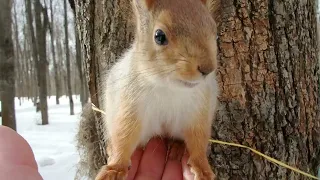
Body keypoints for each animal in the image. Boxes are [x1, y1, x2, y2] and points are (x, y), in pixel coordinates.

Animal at [95, 0, 220, 179]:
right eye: (159, 36)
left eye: (216, 35)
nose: (207, 68)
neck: (169, 87)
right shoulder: (129, 107)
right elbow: (124, 136)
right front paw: (115, 168)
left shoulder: (199, 112)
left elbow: (199, 141)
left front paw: (202, 169)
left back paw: (177, 147)